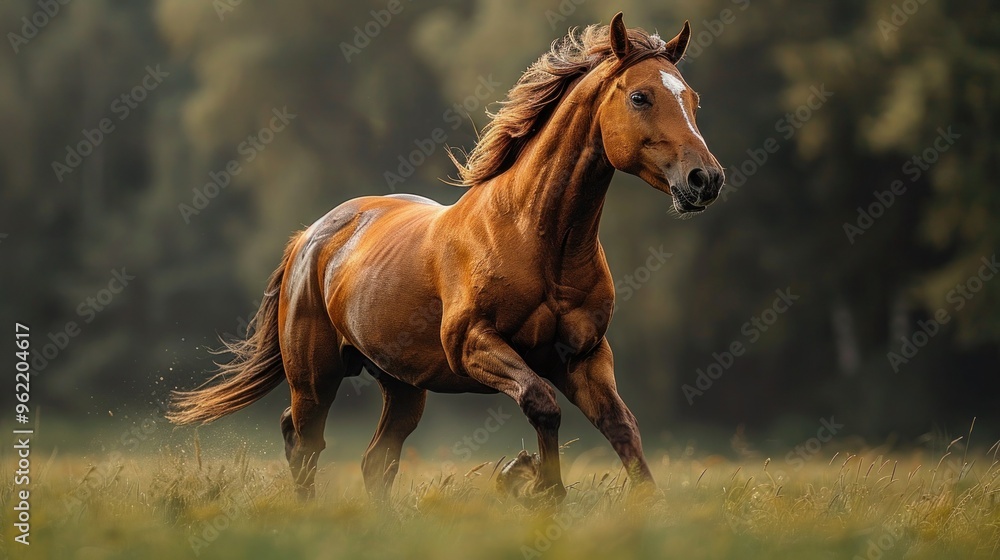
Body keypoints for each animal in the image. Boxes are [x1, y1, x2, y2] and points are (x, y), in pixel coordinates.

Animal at [168, 12, 724, 504]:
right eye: (640, 96)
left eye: (692, 98)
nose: (706, 179)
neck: (538, 239)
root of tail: (310, 237)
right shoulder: (473, 345)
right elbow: (542, 404)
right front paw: (536, 485)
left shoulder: (585, 356)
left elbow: (621, 426)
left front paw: (642, 504)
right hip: (315, 377)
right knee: (304, 443)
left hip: (402, 385)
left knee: (375, 461)